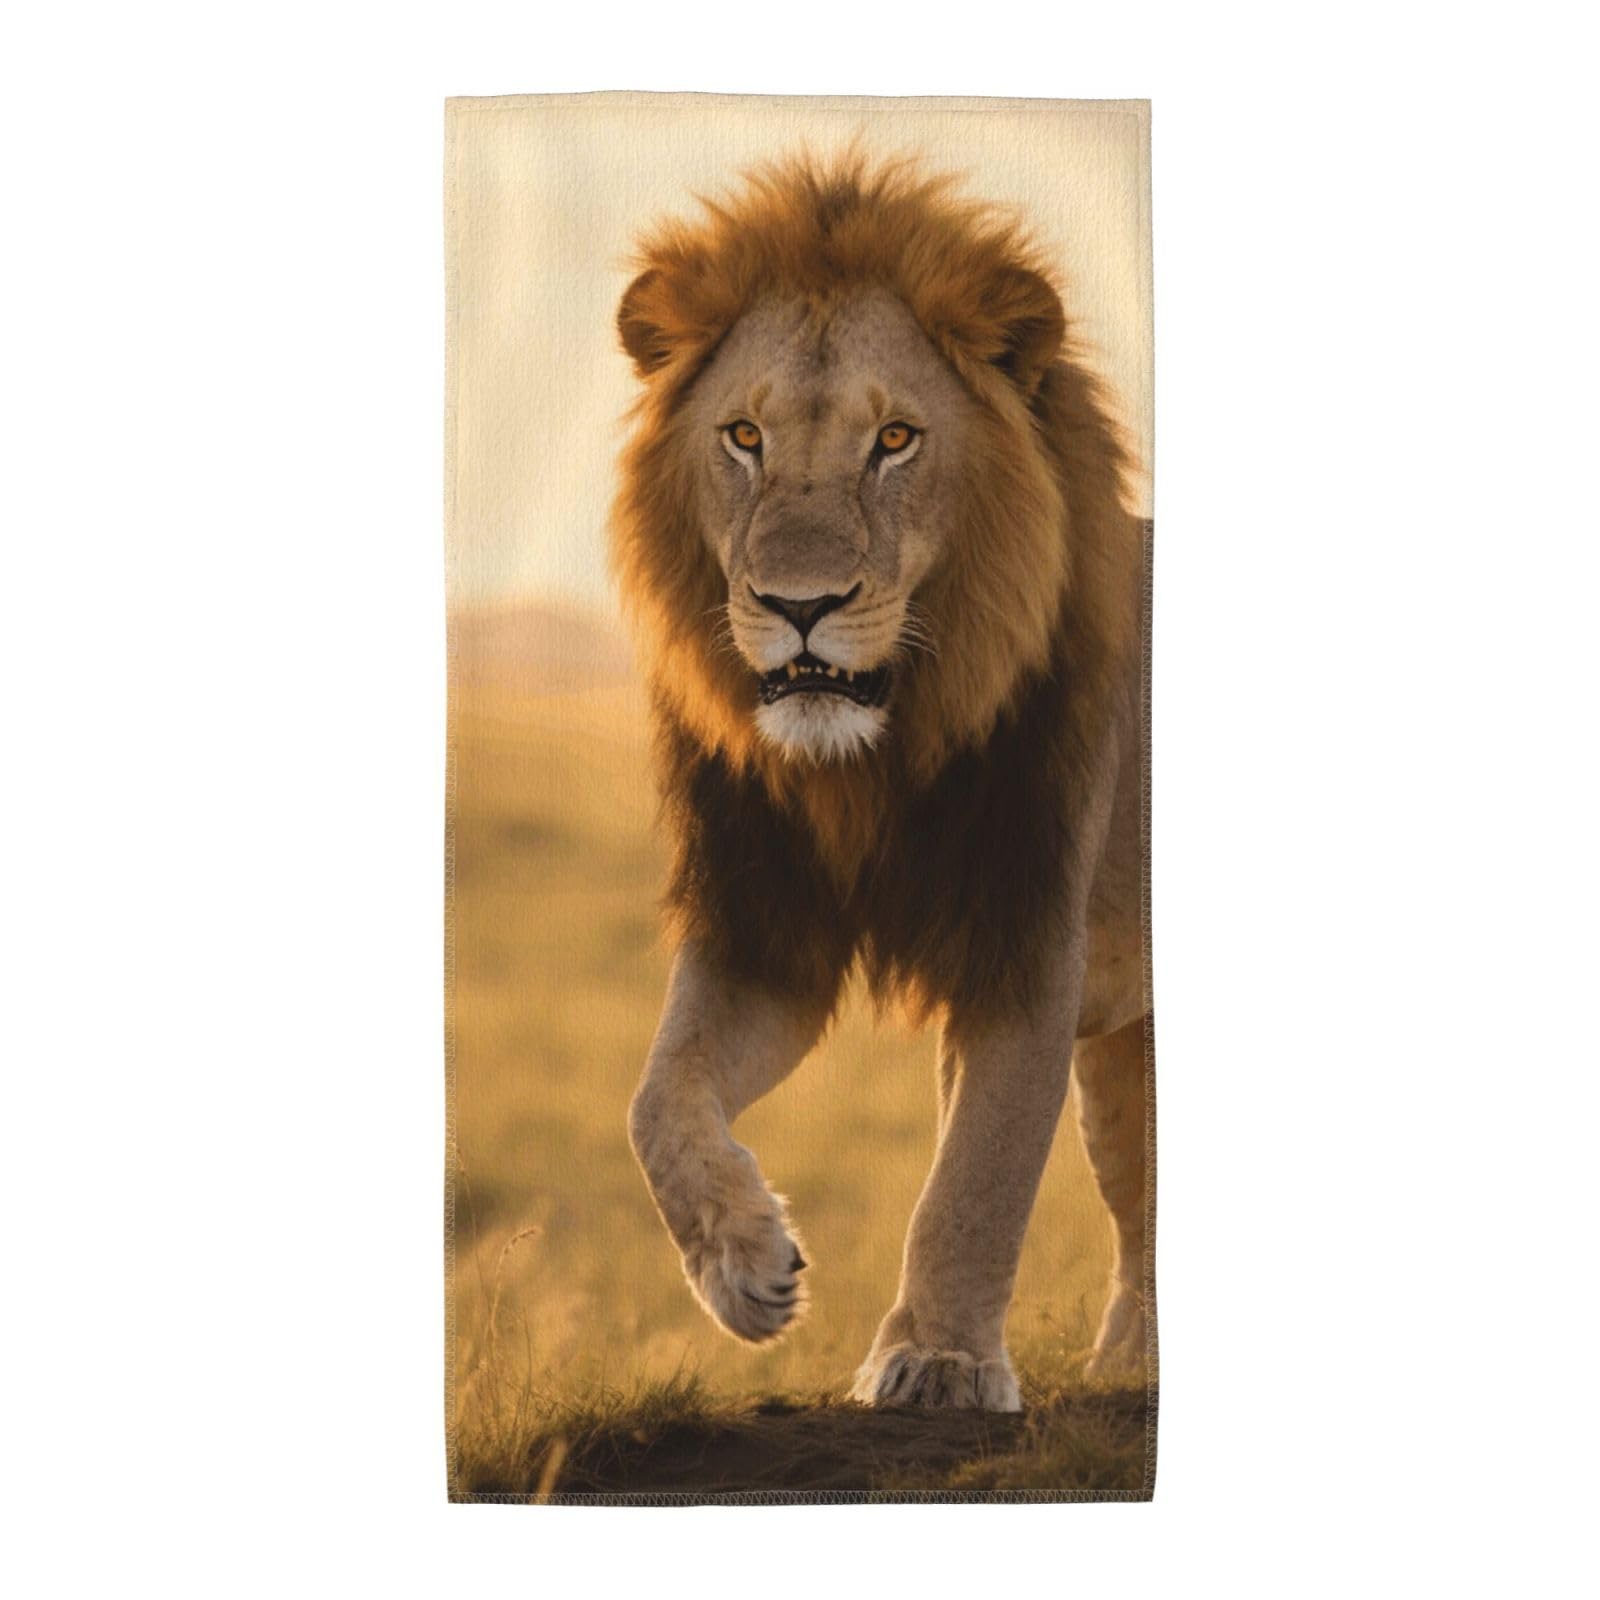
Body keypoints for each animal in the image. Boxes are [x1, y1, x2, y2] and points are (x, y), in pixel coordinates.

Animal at [611, 153, 1152, 1410]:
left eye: (896, 439)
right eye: (744, 435)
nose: (799, 605)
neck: (875, 763)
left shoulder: (1026, 939)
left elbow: (977, 1176)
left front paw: (940, 1359)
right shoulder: (766, 932)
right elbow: (657, 1099)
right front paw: (746, 1268)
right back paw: (1128, 1367)